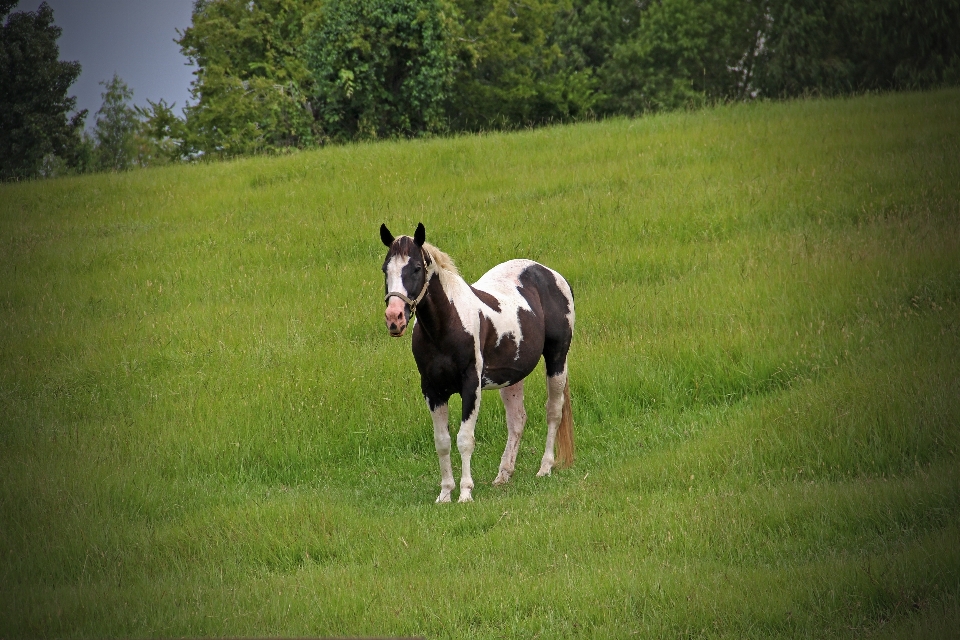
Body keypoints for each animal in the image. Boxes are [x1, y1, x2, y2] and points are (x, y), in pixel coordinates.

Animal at [378, 222, 572, 502]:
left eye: (416, 268)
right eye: (386, 269)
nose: (394, 318)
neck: (446, 326)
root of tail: (551, 274)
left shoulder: (471, 386)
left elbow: (464, 439)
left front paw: (465, 493)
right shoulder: (432, 391)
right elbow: (442, 441)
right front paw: (445, 493)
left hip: (557, 359)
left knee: (553, 411)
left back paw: (545, 468)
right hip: (511, 377)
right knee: (517, 420)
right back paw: (503, 475)